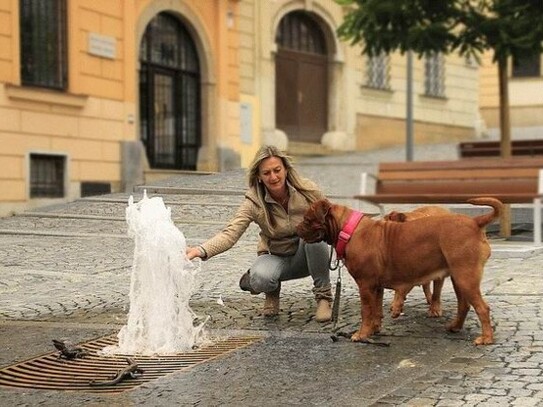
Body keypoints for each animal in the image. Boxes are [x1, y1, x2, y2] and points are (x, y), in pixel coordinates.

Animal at [300, 198, 504, 344]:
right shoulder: (377, 287)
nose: (297, 228)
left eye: (307, 219)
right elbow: (376, 311)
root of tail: (475, 222)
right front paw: (374, 329)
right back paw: (454, 327)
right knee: (464, 305)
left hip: (465, 277)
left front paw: (361, 334)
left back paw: (486, 338)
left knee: (482, 308)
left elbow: (366, 311)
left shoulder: (365, 286)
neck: (347, 231)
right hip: (458, 278)